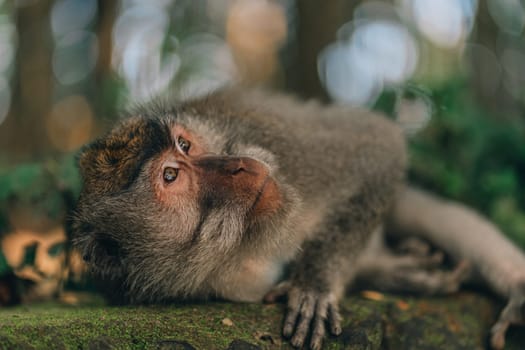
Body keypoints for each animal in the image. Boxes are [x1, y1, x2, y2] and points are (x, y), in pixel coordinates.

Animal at [71, 87, 524, 348]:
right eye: (171, 175)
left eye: (185, 144)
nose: (240, 165)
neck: (238, 249)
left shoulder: (279, 143)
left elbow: (378, 145)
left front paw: (315, 283)